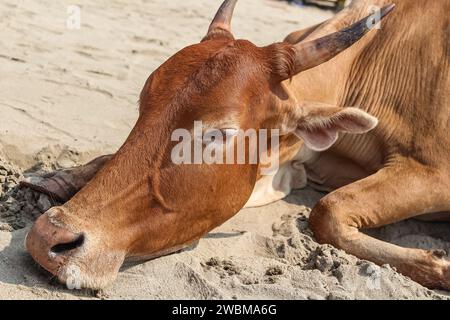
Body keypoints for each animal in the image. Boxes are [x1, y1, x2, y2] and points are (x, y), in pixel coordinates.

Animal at [24, 0, 450, 290]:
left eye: (218, 134)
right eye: (143, 103)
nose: (48, 238)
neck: (366, 63)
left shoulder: (434, 173)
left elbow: (327, 210)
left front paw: (438, 266)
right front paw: (57, 178)